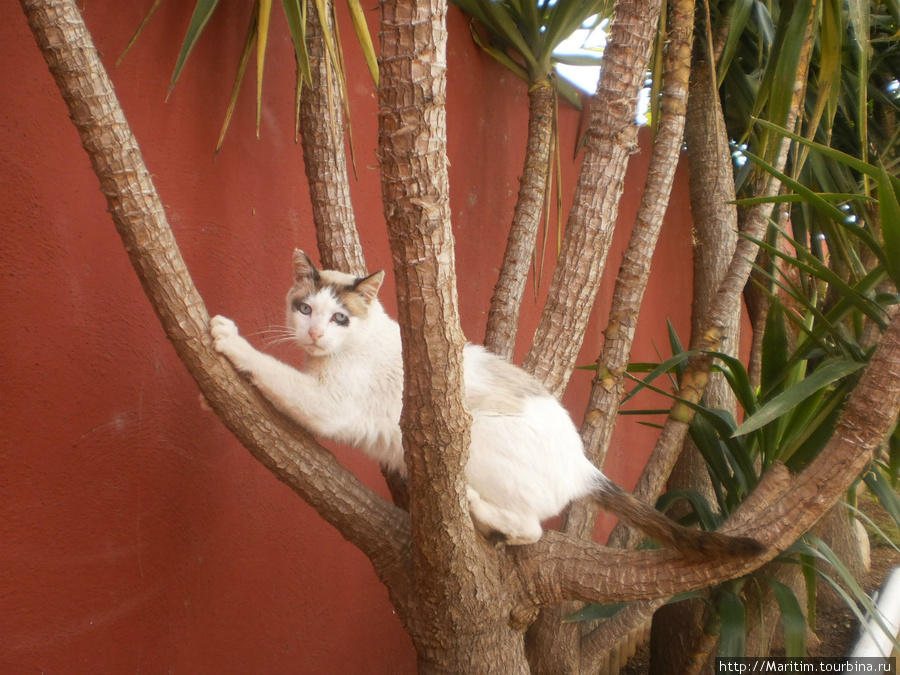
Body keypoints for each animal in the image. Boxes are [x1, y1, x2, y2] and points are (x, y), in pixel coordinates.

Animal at [211, 251, 768, 556]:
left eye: (340, 318)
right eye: (304, 309)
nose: (314, 333)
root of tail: (584, 464)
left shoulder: (328, 404)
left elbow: (270, 369)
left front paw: (228, 338)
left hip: (472, 439)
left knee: (532, 530)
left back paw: (479, 510)